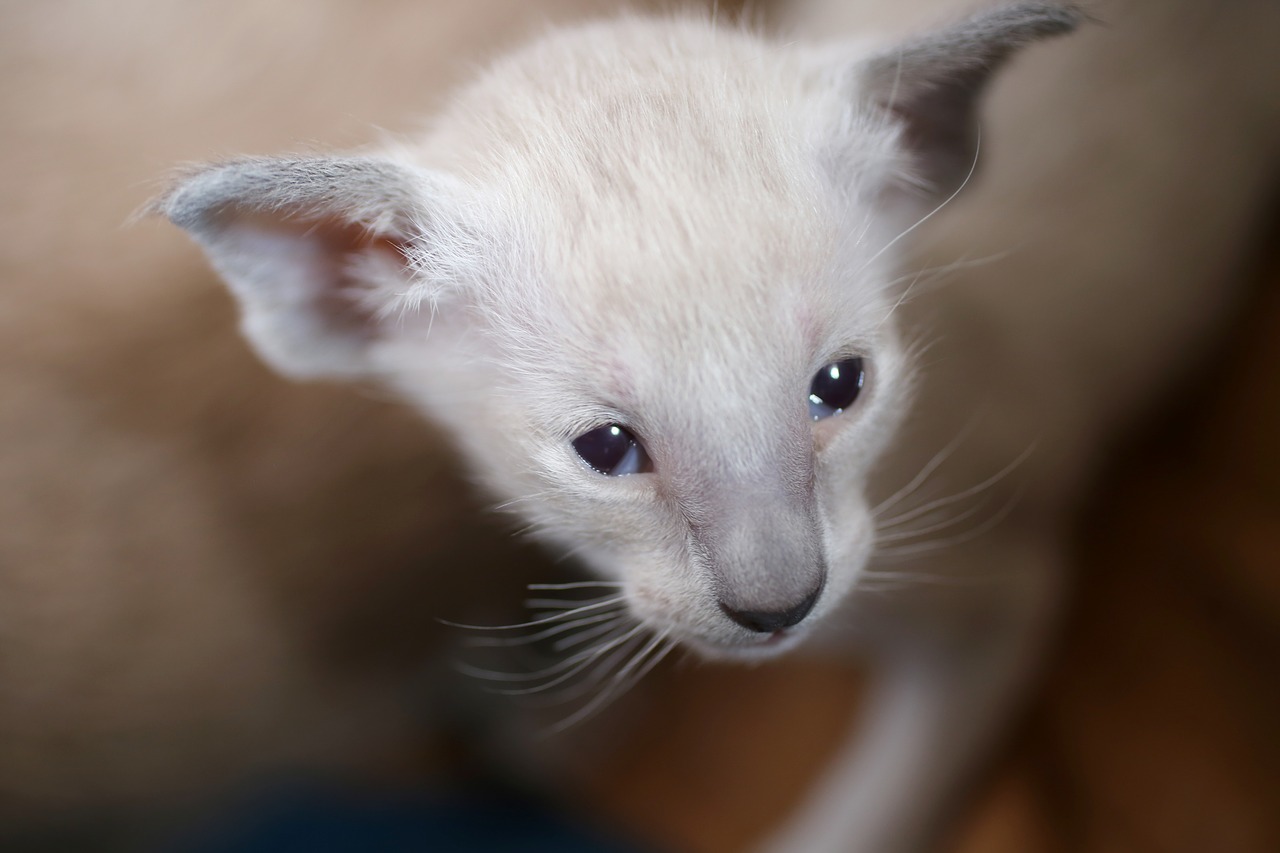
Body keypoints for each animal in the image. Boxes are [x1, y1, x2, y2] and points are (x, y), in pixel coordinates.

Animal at [160, 1, 1280, 850]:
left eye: (840, 386)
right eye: (605, 451)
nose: (778, 606)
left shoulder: (1007, 602)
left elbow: (858, 824)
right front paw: (531, 708)